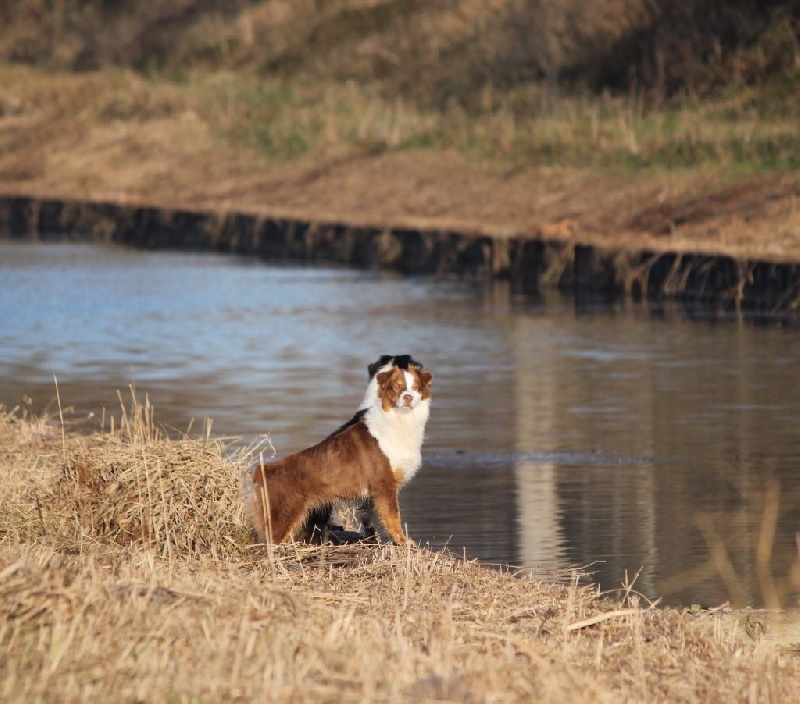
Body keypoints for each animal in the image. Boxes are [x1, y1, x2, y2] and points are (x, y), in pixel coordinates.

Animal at [255, 354, 434, 548]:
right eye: (396, 387)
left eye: (415, 388)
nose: (408, 397)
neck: (399, 419)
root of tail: (262, 470)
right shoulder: (383, 483)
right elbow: (392, 516)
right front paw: (402, 541)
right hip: (283, 518)